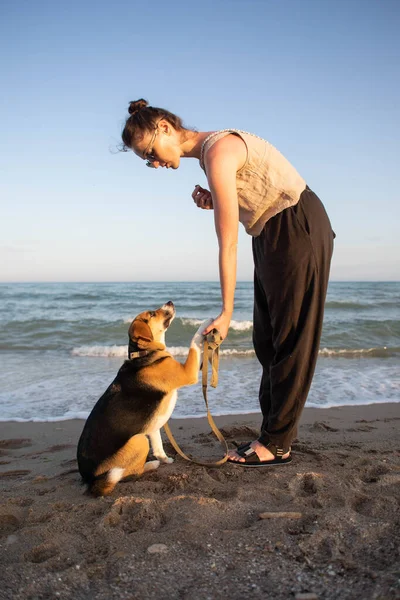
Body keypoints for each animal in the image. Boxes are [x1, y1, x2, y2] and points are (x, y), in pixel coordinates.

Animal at [76, 302, 212, 494]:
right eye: (153, 313)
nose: (170, 302)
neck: (144, 354)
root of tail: (91, 481)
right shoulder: (188, 372)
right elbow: (194, 342)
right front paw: (205, 324)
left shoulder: (153, 426)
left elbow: (159, 446)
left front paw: (165, 459)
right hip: (139, 440)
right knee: (131, 473)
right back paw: (151, 465)